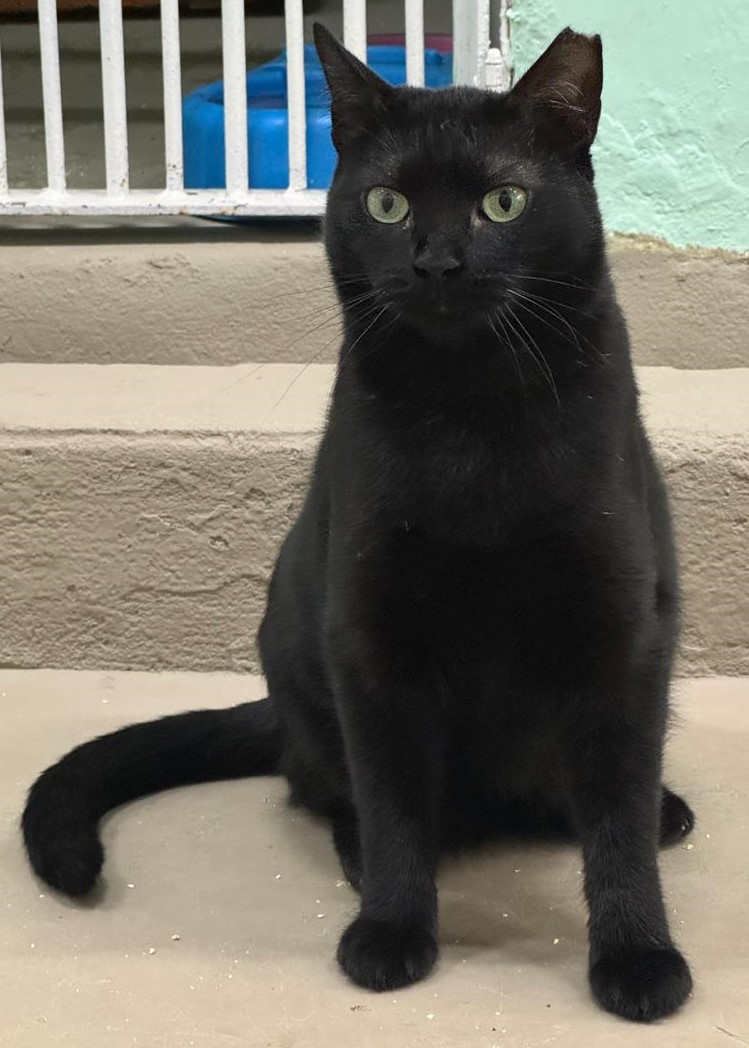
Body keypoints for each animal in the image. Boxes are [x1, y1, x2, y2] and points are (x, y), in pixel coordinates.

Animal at [22, 24, 695, 1022]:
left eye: (502, 202)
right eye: (385, 203)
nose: (436, 262)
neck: (470, 417)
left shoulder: (620, 628)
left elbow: (613, 815)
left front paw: (639, 956)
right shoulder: (371, 636)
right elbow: (392, 804)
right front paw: (390, 930)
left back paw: (662, 810)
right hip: (301, 658)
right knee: (328, 785)